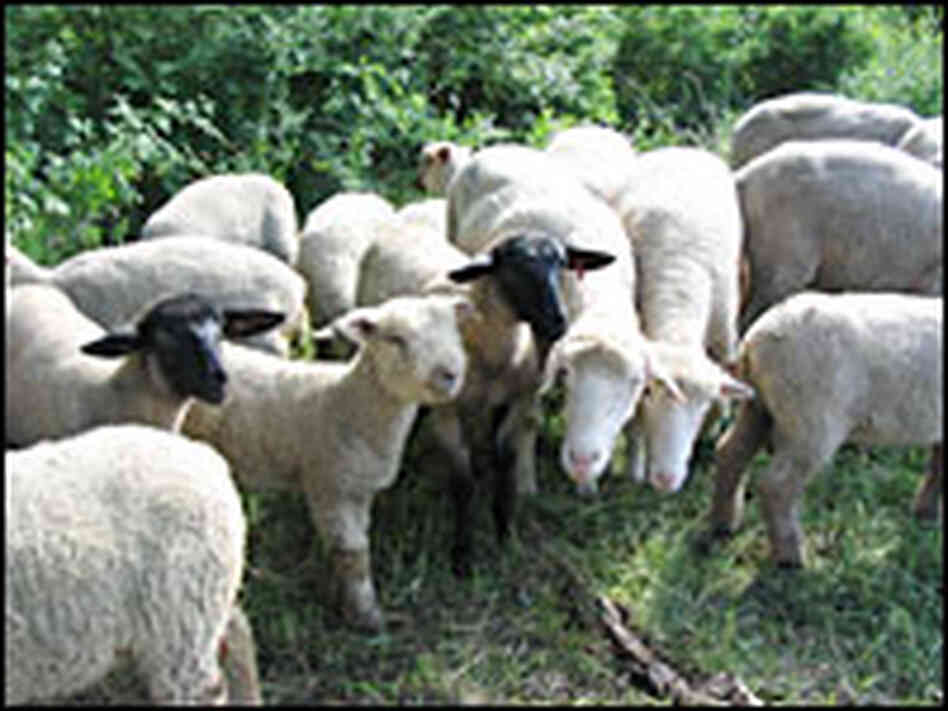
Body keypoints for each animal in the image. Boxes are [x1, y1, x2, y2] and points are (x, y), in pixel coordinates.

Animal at [181, 294, 474, 632]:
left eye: (455, 332)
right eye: (395, 339)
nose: (449, 374)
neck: (346, 403)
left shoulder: (358, 490)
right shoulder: (331, 488)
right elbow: (352, 555)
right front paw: (367, 617)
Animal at [543, 147, 752, 496]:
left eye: (702, 403)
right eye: (651, 393)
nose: (666, 480)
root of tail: (682, 149)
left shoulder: (725, 339)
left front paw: (711, 432)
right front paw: (636, 468)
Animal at [707, 291, 943, 567]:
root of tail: (756, 338)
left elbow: (938, 467)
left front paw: (926, 513)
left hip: (760, 405)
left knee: (731, 453)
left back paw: (724, 524)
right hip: (811, 414)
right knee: (777, 485)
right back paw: (791, 558)